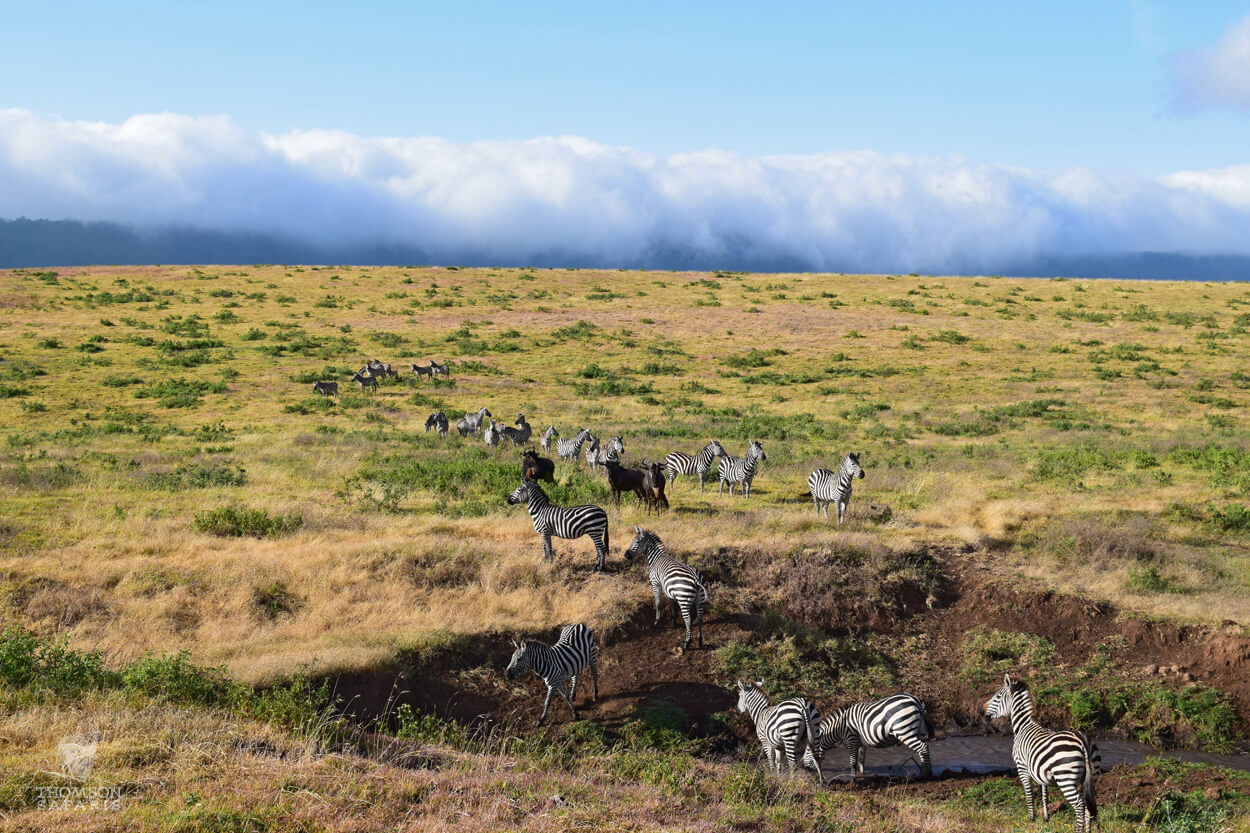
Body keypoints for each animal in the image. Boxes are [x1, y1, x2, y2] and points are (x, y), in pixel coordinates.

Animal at [805, 690, 935, 775]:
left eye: (807, 752)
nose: (805, 769)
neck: (840, 726)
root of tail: (915, 700)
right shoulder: (861, 743)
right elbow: (861, 761)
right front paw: (862, 777)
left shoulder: (851, 739)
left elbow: (853, 762)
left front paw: (853, 780)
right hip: (919, 732)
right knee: (922, 750)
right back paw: (923, 771)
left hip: (904, 731)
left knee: (923, 748)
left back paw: (926, 775)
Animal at [990, 670, 1100, 830]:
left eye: (998, 696)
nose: (982, 710)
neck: (1023, 726)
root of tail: (1082, 740)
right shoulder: (1040, 772)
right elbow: (1044, 795)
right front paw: (1046, 818)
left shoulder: (1022, 767)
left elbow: (1029, 794)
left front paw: (1031, 818)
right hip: (1091, 777)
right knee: (1088, 805)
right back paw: (1088, 830)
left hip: (1065, 777)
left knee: (1080, 805)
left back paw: (1078, 830)